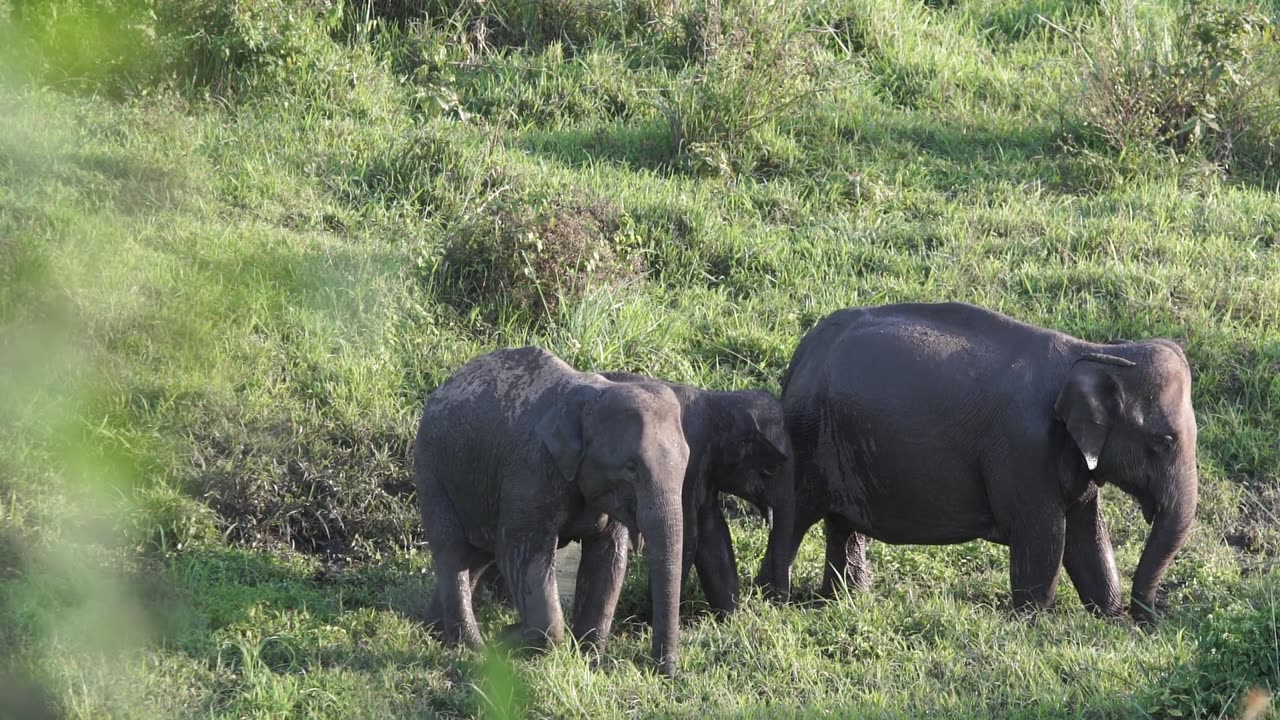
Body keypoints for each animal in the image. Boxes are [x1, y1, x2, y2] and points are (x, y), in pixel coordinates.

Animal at [414, 345, 691, 676]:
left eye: (687, 463)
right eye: (631, 467)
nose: (662, 672)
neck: (592, 394)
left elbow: (608, 558)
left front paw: (590, 659)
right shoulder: (530, 472)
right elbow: (523, 555)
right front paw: (512, 639)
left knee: (477, 555)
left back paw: (431, 629)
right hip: (432, 472)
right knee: (454, 552)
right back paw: (470, 648)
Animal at [596, 371, 788, 614]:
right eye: (770, 469)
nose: (775, 602)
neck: (717, 402)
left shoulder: (704, 469)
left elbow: (712, 531)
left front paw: (731, 616)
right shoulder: (685, 465)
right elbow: (688, 534)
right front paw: (649, 618)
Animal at [752, 299, 1192, 620]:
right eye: (1163, 441)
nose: (1152, 617)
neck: (1093, 351)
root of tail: (802, 355)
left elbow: (1089, 536)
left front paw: (1111, 619)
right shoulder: (1025, 451)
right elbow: (1045, 536)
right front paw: (1037, 622)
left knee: (842, 525)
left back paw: (844, 600)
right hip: (806, 439)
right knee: (794, 518)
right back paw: (771, 601)